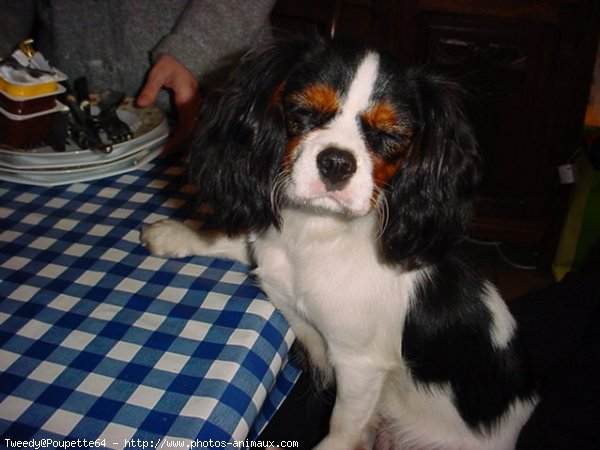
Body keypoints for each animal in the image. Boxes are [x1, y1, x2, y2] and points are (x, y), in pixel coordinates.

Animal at [139, 36, 536, 450]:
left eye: (391, 135)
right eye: (304, 111)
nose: (337, 162)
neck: (318, 231)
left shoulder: (359, 365)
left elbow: (343, 427)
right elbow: (240, 239)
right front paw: (176, 233)